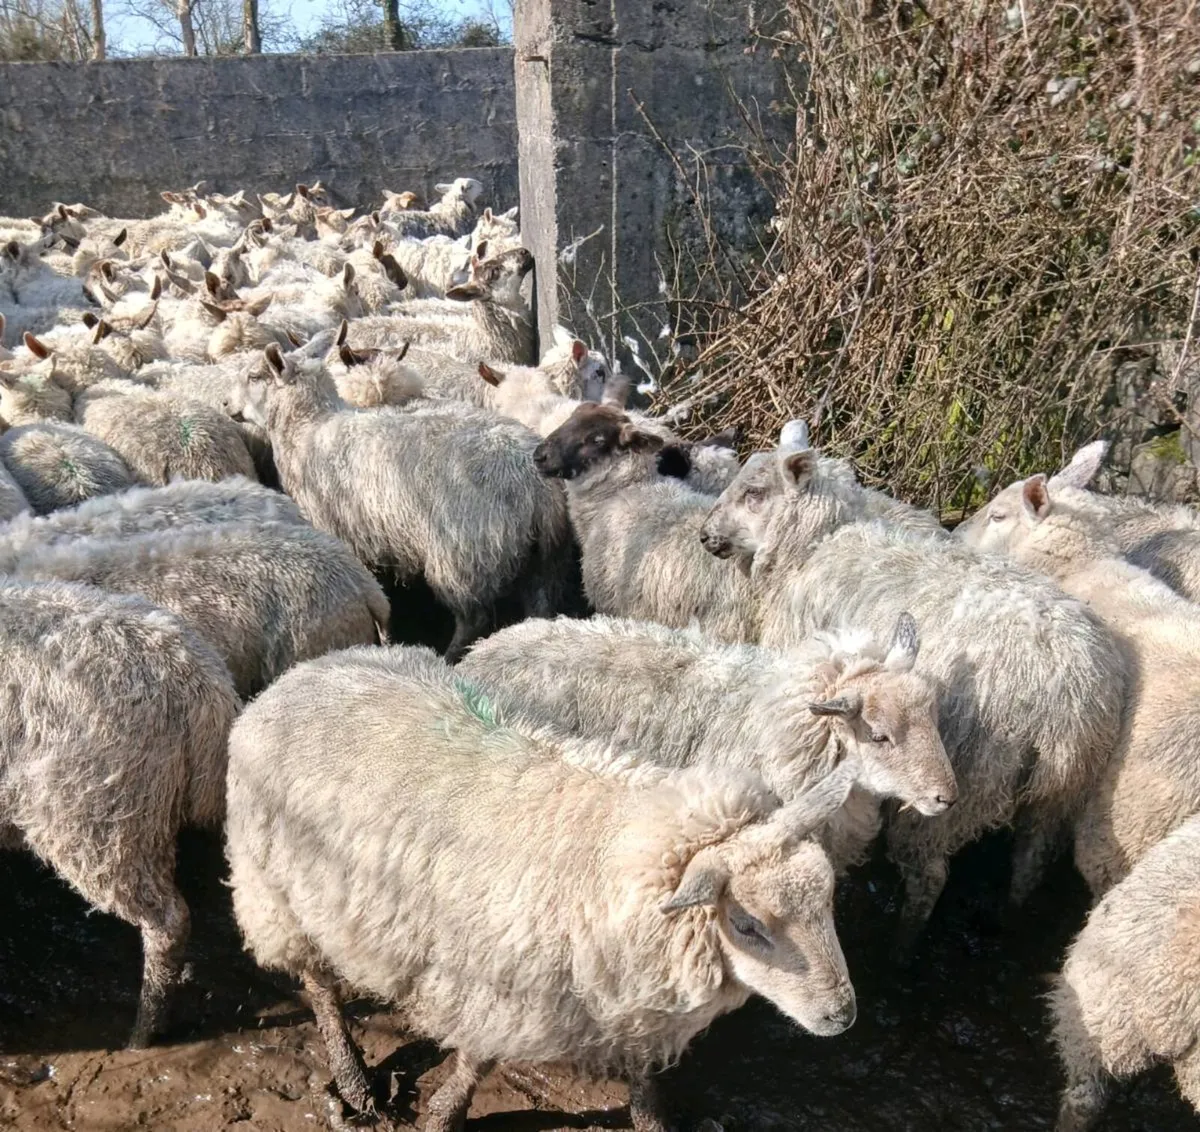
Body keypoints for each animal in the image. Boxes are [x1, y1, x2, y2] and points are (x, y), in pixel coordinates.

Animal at [225, 643, 857, 1132]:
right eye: (747, 925)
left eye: (827, 903)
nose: (844, 1017)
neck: (612, 855)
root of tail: (303, 671)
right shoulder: (500, 985)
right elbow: (476, 1063)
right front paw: (443, 1115)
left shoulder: (627, 987)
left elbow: (643, 1074)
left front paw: (653, 1118)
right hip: (275, 891)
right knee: (318, 983)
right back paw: (352, 1077)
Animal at [231, 344, 573, 661]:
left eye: (254, 376)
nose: (226, 405)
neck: (308, 429)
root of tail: (534, 486)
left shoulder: (343, 533)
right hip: (545, 558)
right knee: (540, 604)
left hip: (463, 552)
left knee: (473, 618)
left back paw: (450, 655)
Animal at [700, 442, 1127, 957]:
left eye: (755, 493)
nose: (705, 536)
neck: (821, 541)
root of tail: (1066, 695)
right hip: (1060, 791)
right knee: (1032, 859)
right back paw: (1008, 921)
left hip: (953, 782)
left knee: (930, 875)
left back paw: (901, 947)